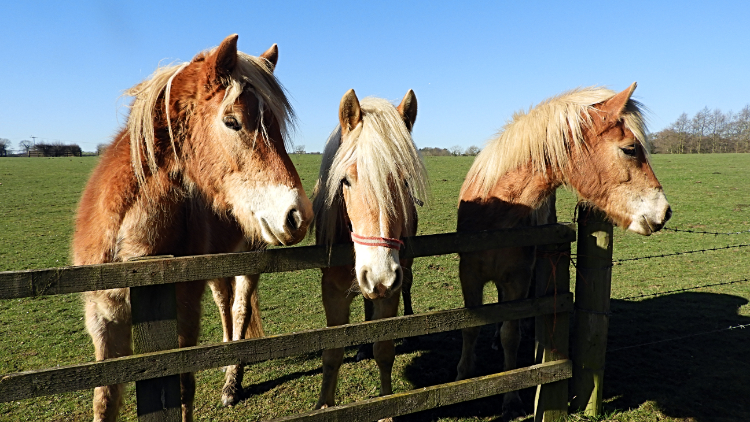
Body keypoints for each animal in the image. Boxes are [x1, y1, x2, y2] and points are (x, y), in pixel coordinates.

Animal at [74, 34, 314, 420]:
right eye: (232, 122)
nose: (297, 215)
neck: (136, 259)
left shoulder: (183, 316)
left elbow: (184, 388)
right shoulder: (102, 321)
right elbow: (104, 399)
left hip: (249, 257)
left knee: (240, 309)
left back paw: (232, 382)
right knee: (224, 303)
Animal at [312, 90, 428, 412]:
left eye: (404, 181)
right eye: (345, 180)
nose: (380, 275)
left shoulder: (390, 290)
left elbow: (384, 350)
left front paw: (386, 404)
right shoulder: (332, 291)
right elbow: (332, 354)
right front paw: (324, 405)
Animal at [456, 84, 672, 418]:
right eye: (629, 149)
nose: (664, 212)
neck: (495, 217)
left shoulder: (518, 279)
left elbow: (510, 334)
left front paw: (510, 397)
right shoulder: (469, 275)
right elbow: (469, 328)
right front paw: (463, 377)